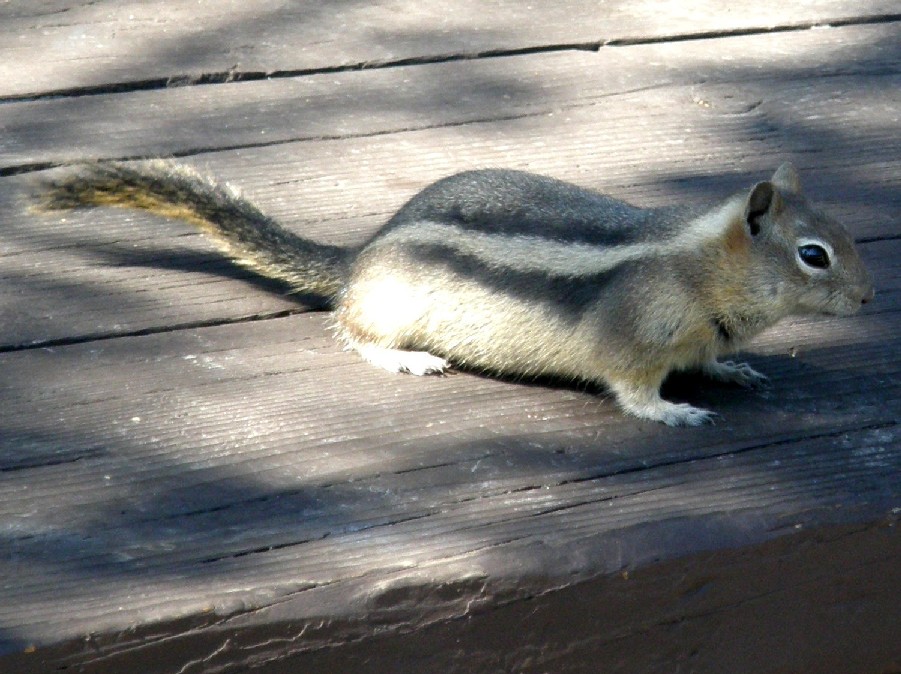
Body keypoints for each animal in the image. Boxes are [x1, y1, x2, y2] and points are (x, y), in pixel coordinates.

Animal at [35, 161, 872, 426]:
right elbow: (632, 389)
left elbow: (707, 361)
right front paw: (672, 411)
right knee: (352, 330)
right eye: (813, 255)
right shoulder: (631, 340)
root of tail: (363, 252)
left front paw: (729, 371)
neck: (697, 268)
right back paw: (405, 359)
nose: (868, 300)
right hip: (388, 308)